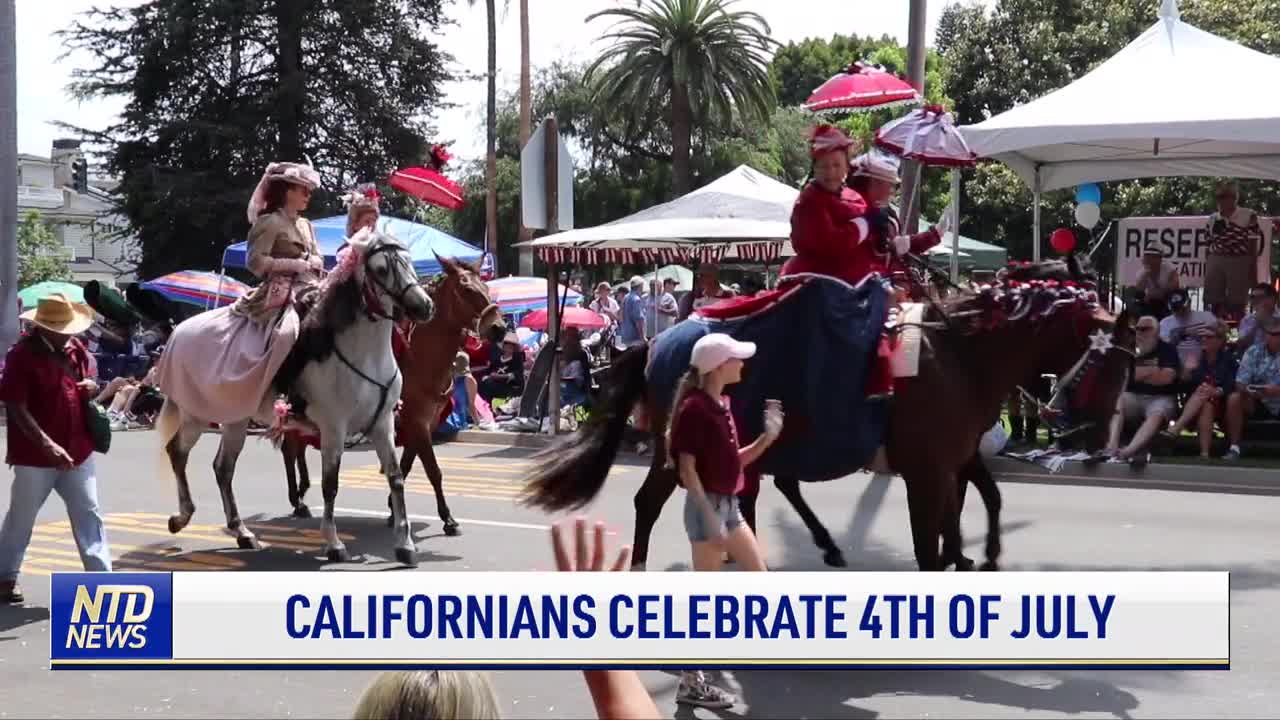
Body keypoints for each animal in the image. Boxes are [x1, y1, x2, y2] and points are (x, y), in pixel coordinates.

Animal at [153, 228, 435, 561]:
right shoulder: (333, 428)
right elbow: (330, 484)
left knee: (223, 468)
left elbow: (396, 477)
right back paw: (181, 517)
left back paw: (242, 533)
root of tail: (179, 332)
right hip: (197, 413)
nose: (424, 306)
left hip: (235, 419)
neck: (363, 354)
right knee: (178, 452)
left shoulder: (382, 424)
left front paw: (405, 545)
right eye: (380, 269)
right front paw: (334, 544)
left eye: (408, 260)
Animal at [277, 254, 506, 530]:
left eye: (487, 289)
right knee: (289, 449)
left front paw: (392, 509)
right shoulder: (416, 422)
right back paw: (297, 500)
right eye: (467, 290)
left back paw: (301, 491)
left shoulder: (422, 423)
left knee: (296, 448)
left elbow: (406, 465)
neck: (420, 357)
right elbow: (433, 470)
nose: (499, 328)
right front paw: (447, 517)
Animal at [519, 254, 1131, 568]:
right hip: (683, 448)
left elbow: (972, 516)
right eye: (1106, 360)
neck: (959, 351)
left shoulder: (954, 465)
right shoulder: (927, 473)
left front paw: (984, 556)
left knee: (744, 497)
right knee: (654, 502)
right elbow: (931, 545)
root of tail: (660, 340)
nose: (1099, 433)